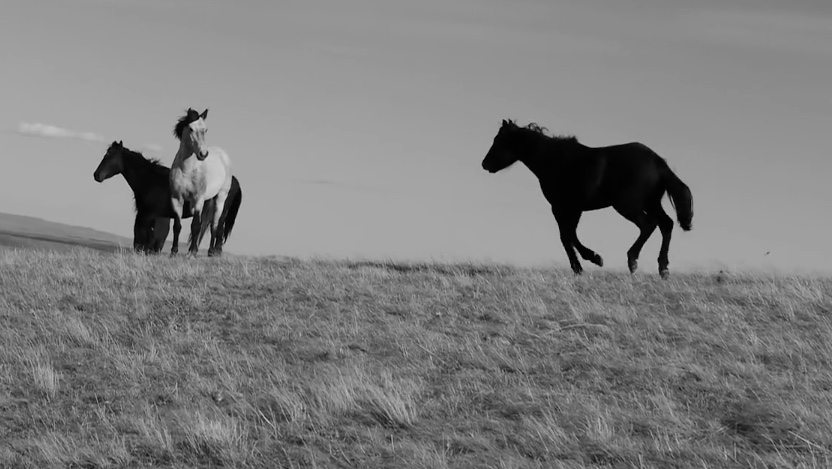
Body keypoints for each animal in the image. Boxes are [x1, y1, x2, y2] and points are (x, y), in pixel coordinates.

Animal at [93, 140, 242, 254]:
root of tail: (232, 180)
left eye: (109, 155)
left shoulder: (148, 215)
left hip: (220, 209)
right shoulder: (153, 215)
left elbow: (148, 234)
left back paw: (213, 251)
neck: (151, 180)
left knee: (217, 227)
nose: (96, 175)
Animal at [169, 108, 235, 257]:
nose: (203, 154)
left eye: (205, 130)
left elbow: (195, 225)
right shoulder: (177, 198)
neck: (187, 170)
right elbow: (177, 226)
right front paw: (174, 252)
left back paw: (211, 252)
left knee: (214, 225)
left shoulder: (198, 199)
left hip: (220, 198)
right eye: (191, 129)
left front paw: (192, 254)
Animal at [481, 119, 693, 279]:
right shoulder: (574, 209)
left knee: (649, 224)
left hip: (628, 205)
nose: (485, 164)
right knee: (666, 224)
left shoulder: (561, 207)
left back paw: (633, 261)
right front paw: (589, 261)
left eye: (498, 140)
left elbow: (566, 236)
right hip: (651, 203)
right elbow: (570, 235)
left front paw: (586, 263)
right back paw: (663, 269)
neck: (553, 160)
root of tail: (658, 162)